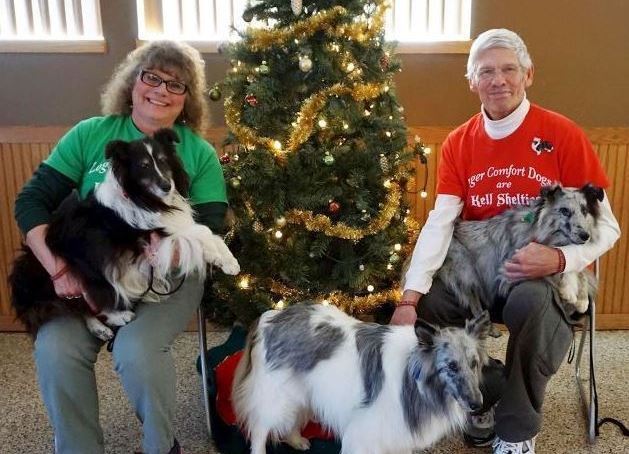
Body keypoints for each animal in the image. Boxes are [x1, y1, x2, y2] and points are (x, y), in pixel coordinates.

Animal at [9, 127, 240, 340]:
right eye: (143, 165)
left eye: (163, 161)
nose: (167, 186)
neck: (144, 198)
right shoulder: (152, 239)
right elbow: (200, 232)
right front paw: (221, 259)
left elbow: (207, 232)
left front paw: (228, 262)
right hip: (84, 266)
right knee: (86, 299)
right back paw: (116, 317)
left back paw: (100, 327)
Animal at [232, 302, 490, 454]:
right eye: (452, 366)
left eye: (474, 363)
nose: (478, 404)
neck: (412, 376)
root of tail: (271, 316)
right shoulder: (365, 437)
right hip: (276, 397)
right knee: (260, 430)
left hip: (302, 391)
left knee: (292, 420)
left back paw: (296, 440)